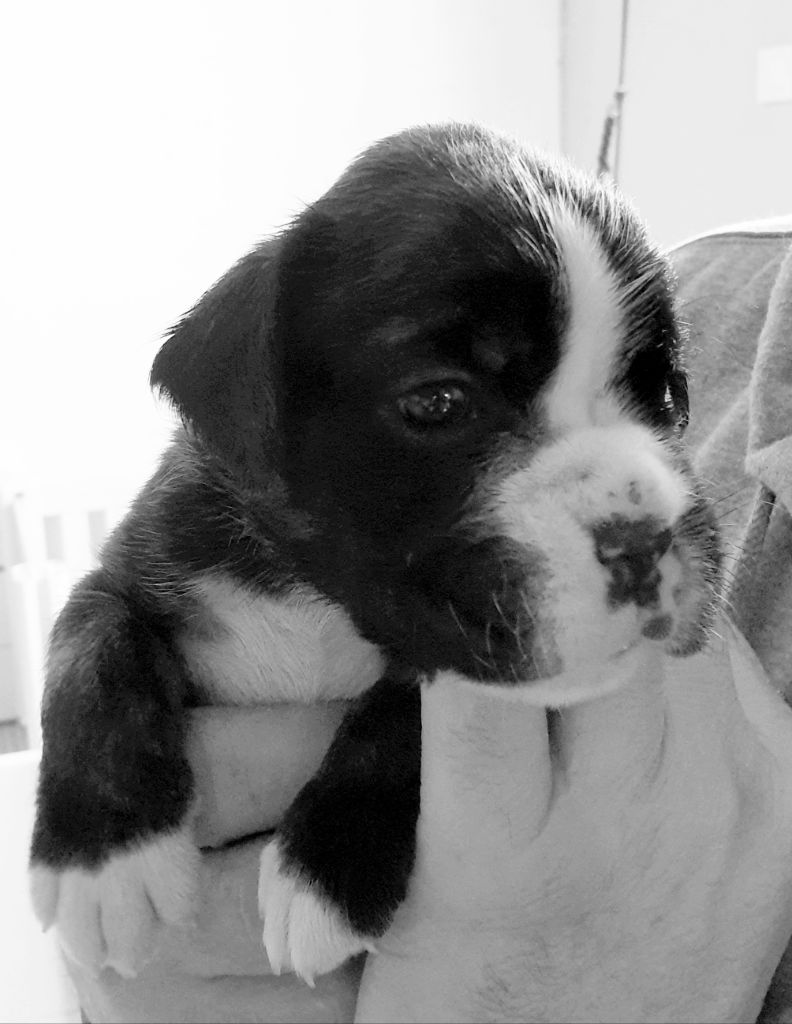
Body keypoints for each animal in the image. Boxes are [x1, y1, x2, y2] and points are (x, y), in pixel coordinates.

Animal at [29, 123, 721, 985]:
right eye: (438, 401)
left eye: (664, 393)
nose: (646, 537)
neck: (316, 596)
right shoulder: (136, 570)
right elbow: (91, 651)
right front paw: (104, 862)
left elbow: (403, 706)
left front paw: (326, 868)